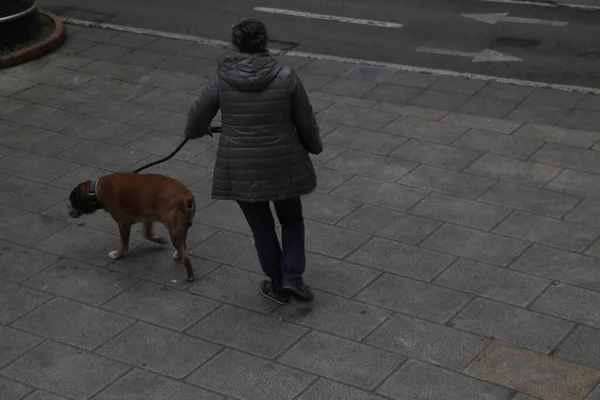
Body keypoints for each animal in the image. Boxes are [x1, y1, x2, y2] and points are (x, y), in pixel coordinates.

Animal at [68, 172, 197, 282]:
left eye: (73, 202)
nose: (69, 212)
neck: (95, 190)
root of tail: (187, 197)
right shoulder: (147, 218)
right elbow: (147, 234)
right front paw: (158, 240)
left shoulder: (123, 223)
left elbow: (124, 243)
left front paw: (118, 254)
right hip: (181, 229)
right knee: (183, 247)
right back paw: (178, 254)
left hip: (174, 232)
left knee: (186, 258)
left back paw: (190, 276)